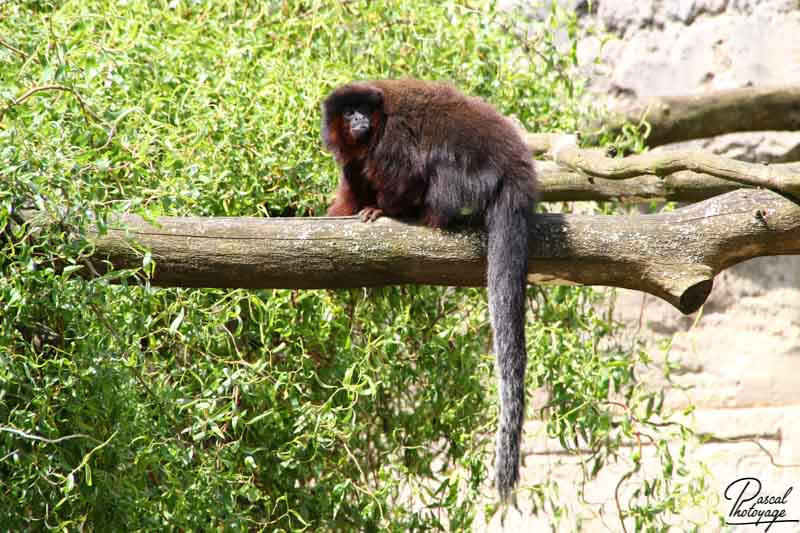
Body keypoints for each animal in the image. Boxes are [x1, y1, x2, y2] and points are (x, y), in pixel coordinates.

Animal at [320, 79, 536, 498]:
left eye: (362, 111)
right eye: (348, 111)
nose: (357, 121)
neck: (375, 127)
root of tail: (515, 162)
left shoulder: (391, 139)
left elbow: (405, 174)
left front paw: (385, 209)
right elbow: (354, 179)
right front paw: (342, 212)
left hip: (473, 174)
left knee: (438, 168)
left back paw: (427, 214)